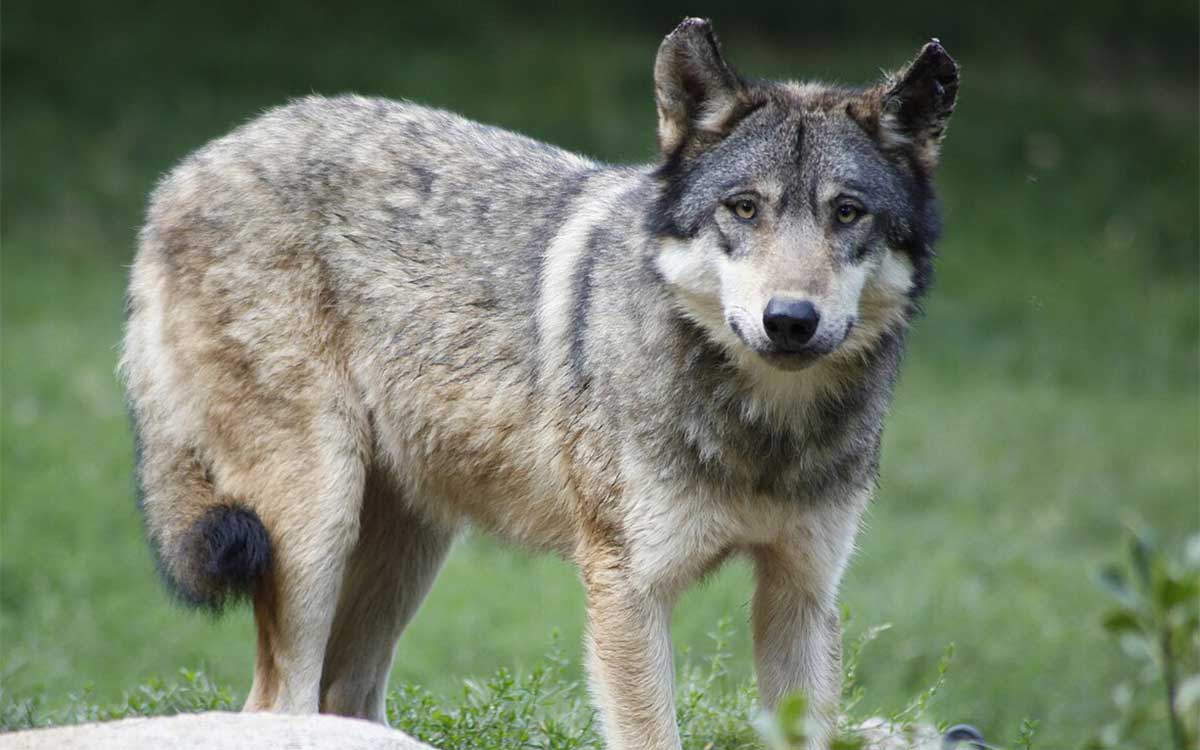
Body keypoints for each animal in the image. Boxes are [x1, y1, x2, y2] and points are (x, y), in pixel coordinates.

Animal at [120, 18, 958, 750]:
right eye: (744, 208)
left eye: (847, 213)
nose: (790, 320)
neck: (762, 431)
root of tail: (182, 173)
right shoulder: (628, 592)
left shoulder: (804, 595)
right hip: (313, 527)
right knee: (275, 701)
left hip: (405, 550)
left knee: (344, 699)